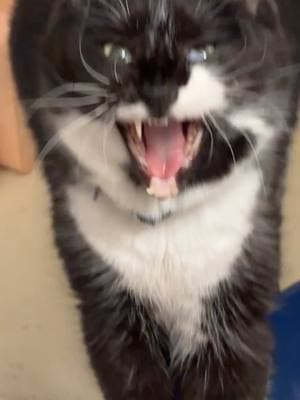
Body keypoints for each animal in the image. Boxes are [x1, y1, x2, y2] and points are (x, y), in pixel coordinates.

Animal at [8, 0, 298, 400]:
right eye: (116, 53)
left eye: (201, 53)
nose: (158, 90)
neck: (164, 226)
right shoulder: (107, 307)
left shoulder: (234, 291)